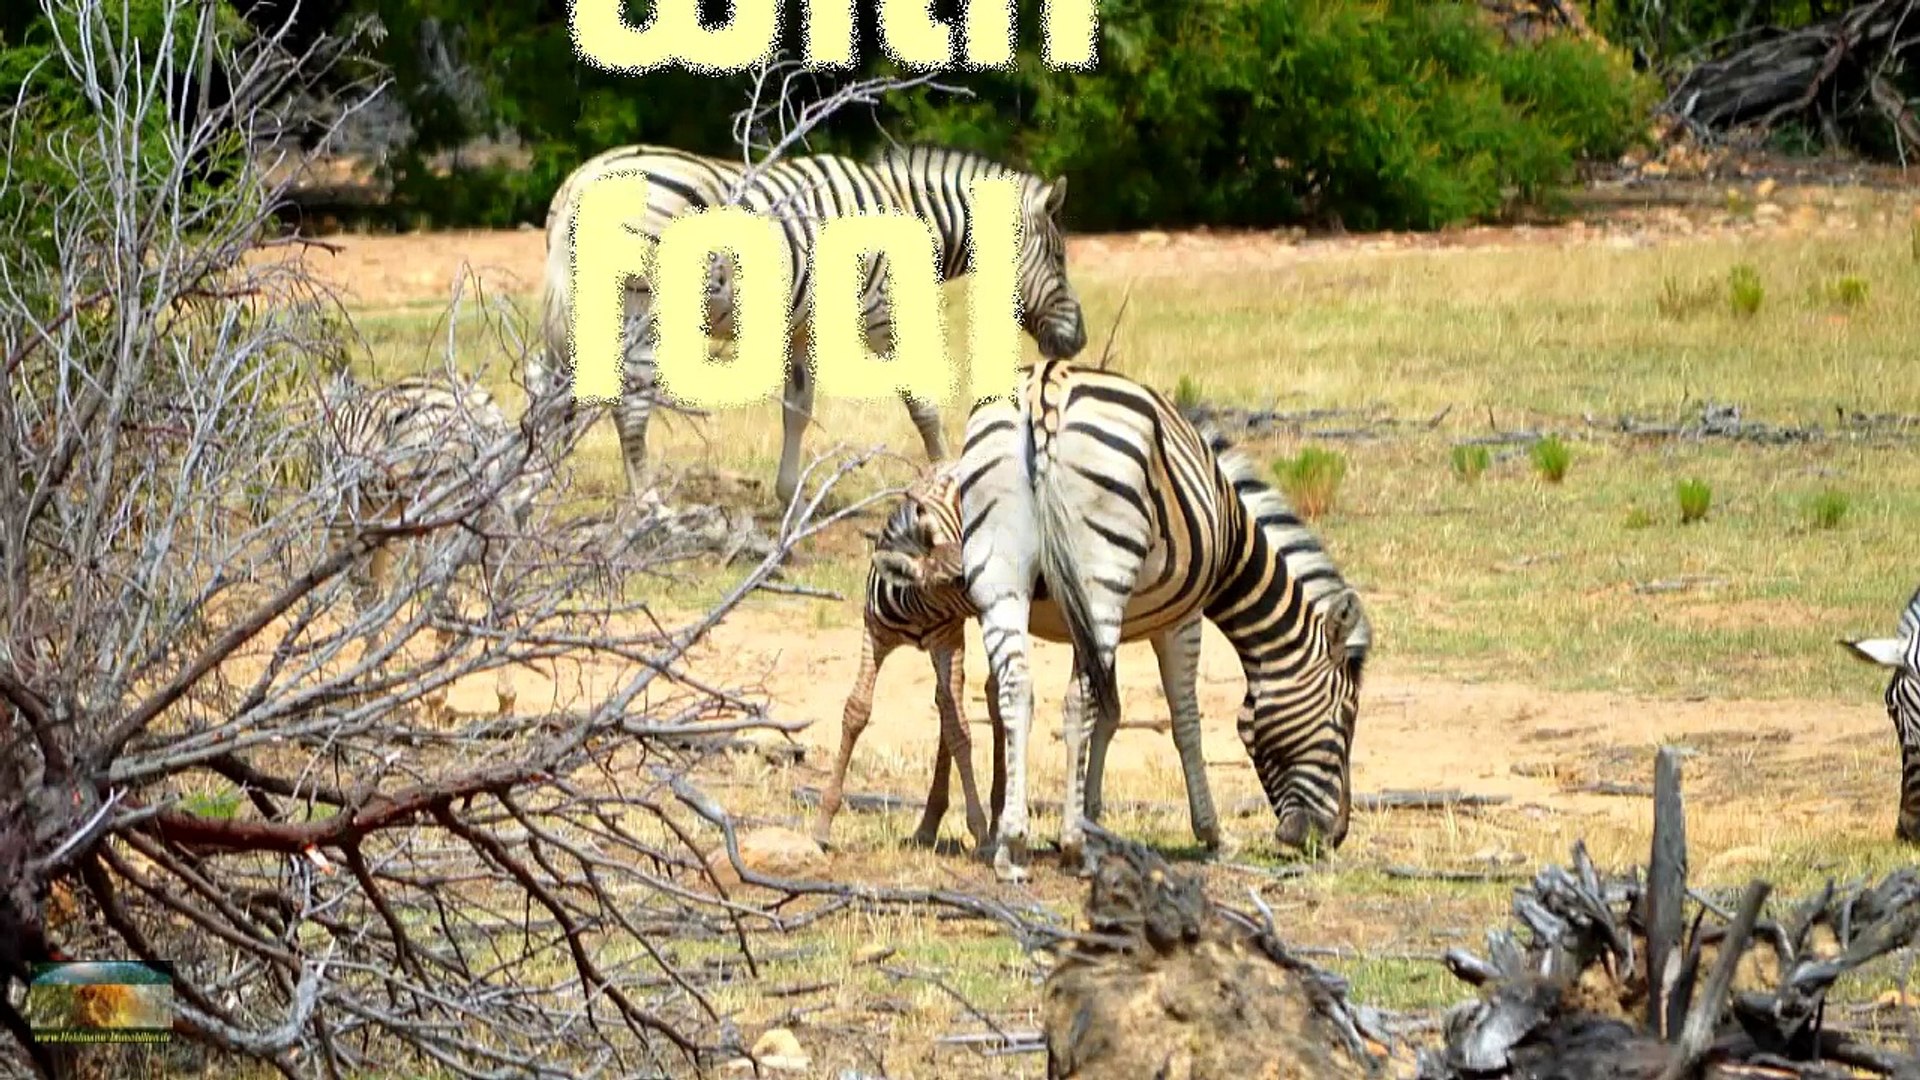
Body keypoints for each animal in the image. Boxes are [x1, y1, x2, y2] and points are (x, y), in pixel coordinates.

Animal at [531, 142, 1090, 508]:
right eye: (1060, 258)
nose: (1079, 341)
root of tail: (584, 179)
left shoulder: (803, 327)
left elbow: (796, 411)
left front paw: (791, 498)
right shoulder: (884, 316)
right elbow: (924, 407)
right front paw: (948, 481)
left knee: (547, 390)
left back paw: (535, 489)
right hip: (643, 312)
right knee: (630, 409)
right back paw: (651, 509)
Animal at [810, 462, 1226, 861]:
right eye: (955, 580)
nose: (1026, 586)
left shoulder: (947, 637)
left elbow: (957, 725)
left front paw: (980, 828)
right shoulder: (875, 633)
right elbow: (857, 710)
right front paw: (823, 825)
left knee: (974, 702)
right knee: (973, 699)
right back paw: (939, 824)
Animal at [953, 360, 1372, 882]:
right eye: (1345, 718)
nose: (1333, 836)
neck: (1234, 542)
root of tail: (1046, 386)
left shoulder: (1082, 624)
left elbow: (1110, 713)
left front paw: (1092, 815)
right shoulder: (1181, 620)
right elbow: (1184, 720)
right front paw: (1212, 835)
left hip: (1001, 569)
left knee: (1017, 691)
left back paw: (1011, 844)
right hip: (1100, 570)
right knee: (1077, 700)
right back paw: (1072, 846)